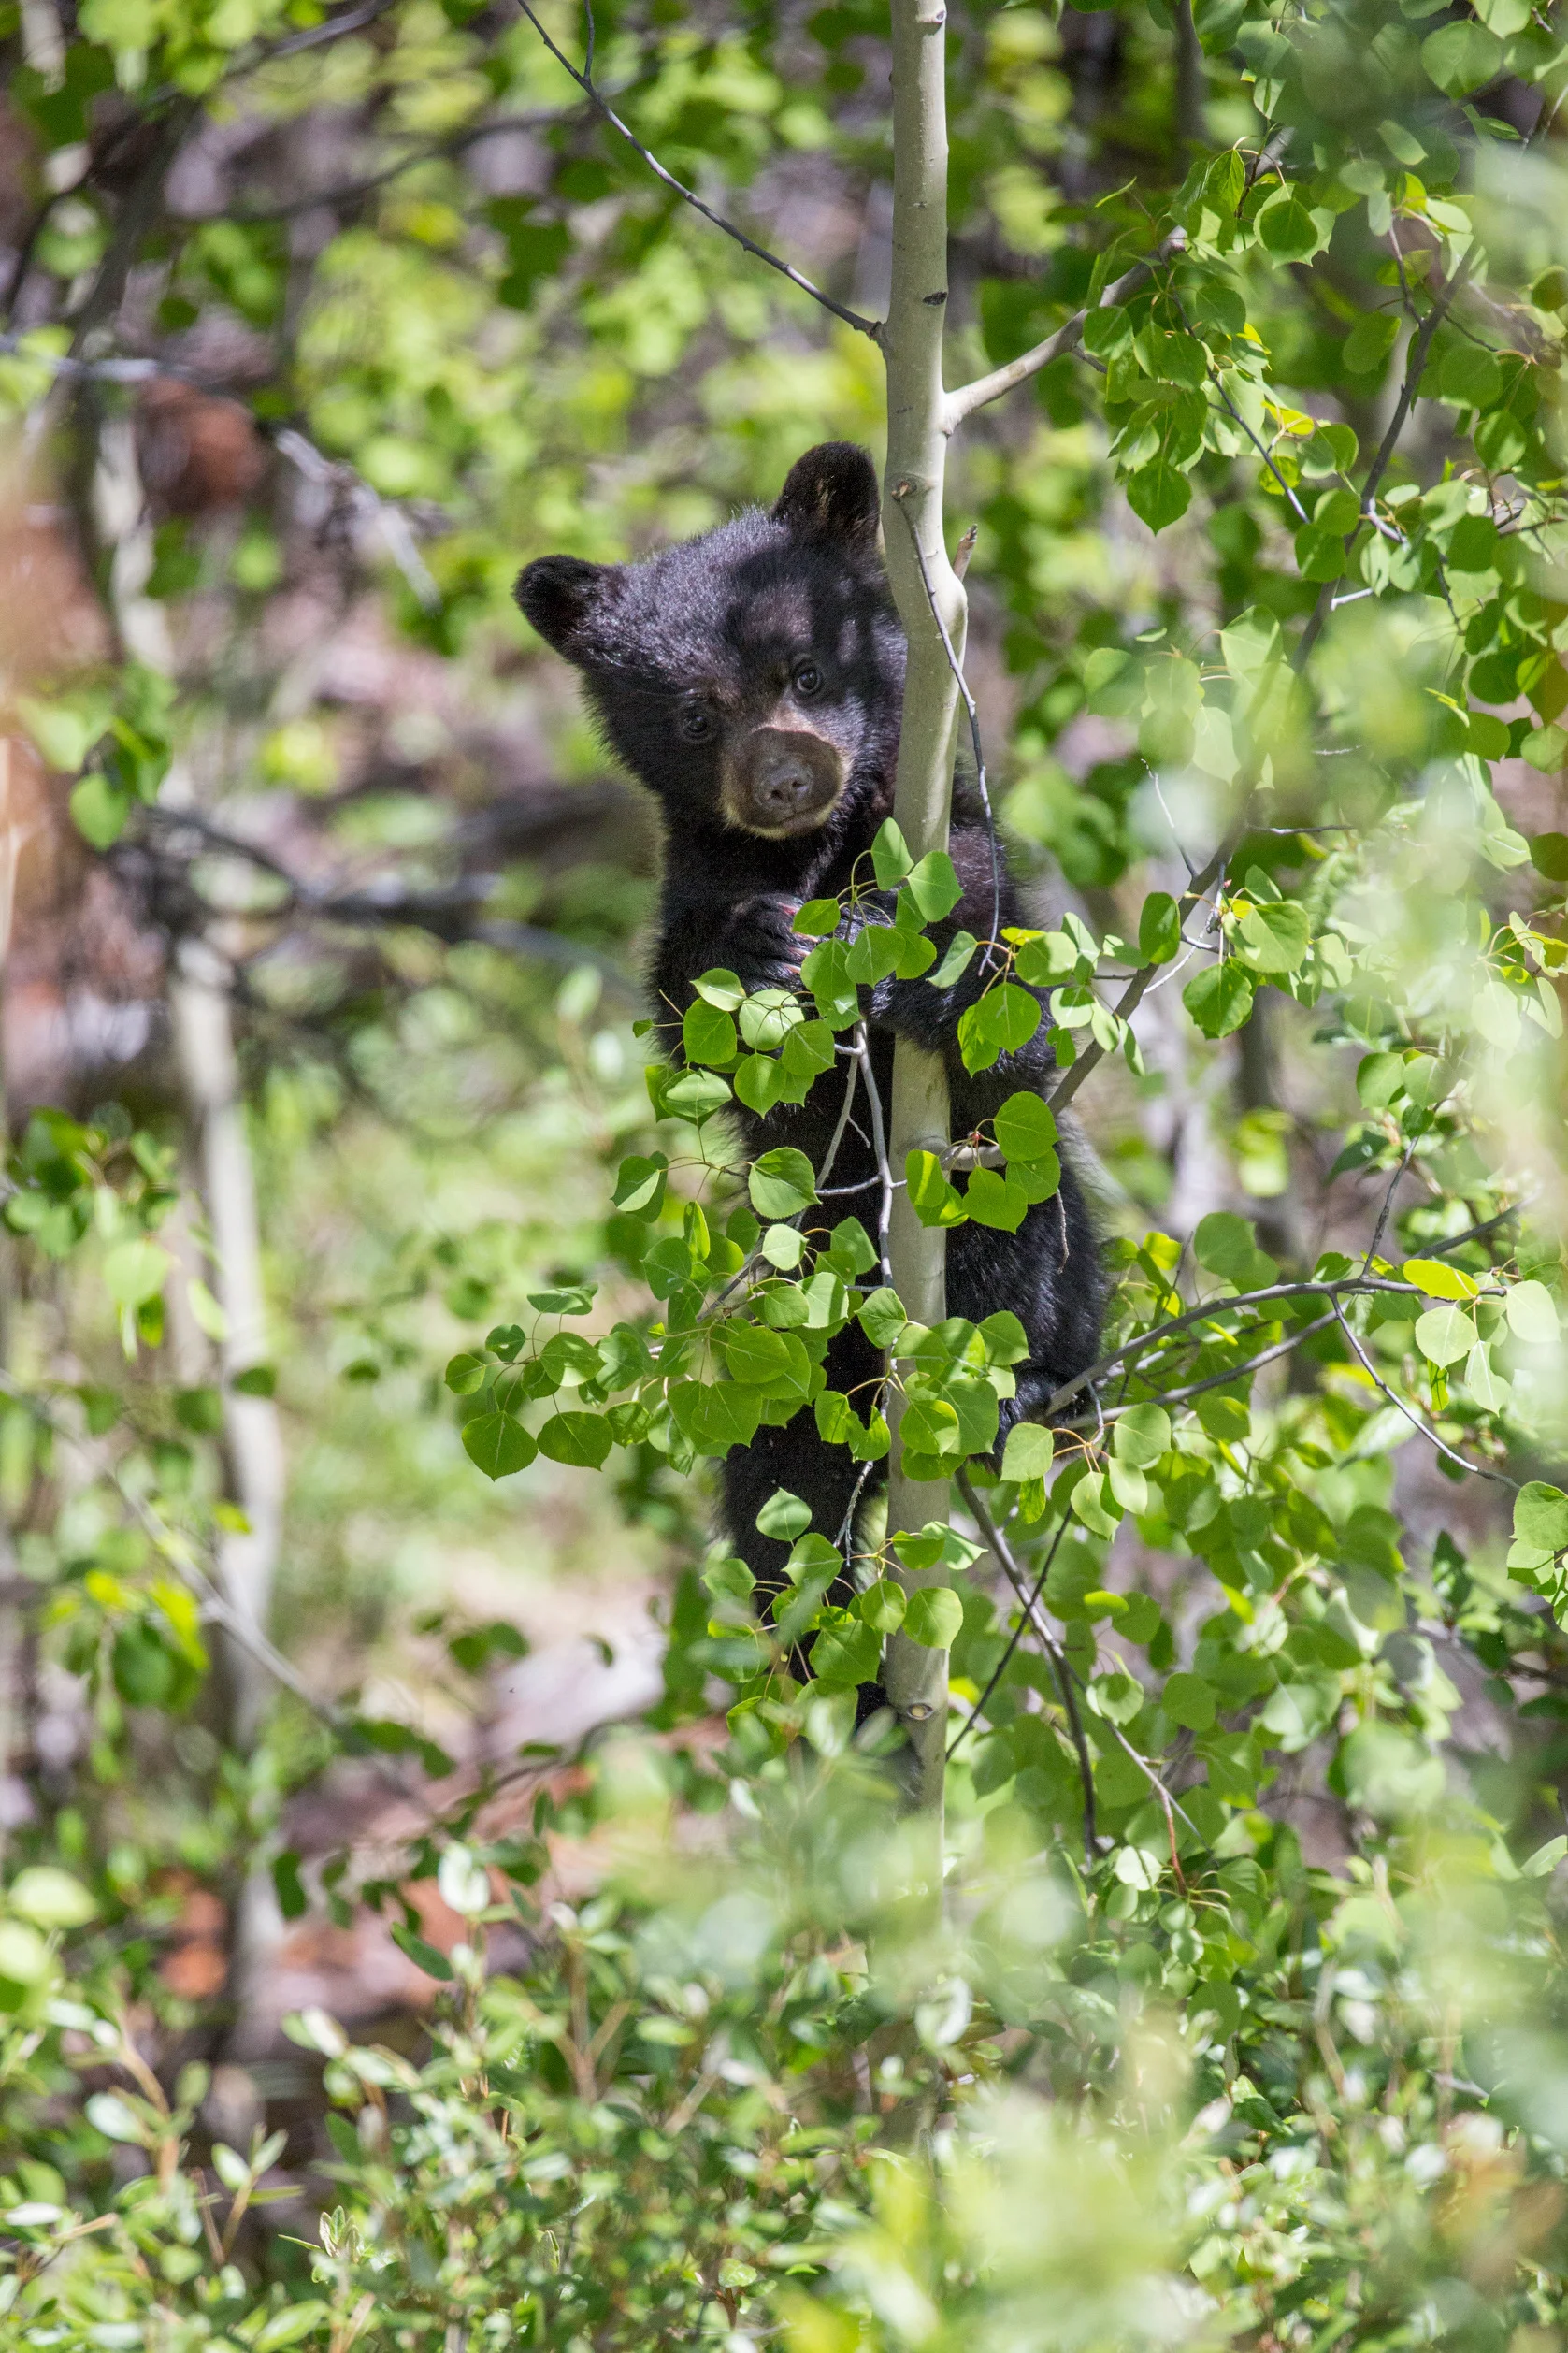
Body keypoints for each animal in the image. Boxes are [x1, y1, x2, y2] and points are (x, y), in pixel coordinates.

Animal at [516, 442, 1102, 1634]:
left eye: (808, 672)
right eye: (697, 715)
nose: (786, 778)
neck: (816, 854)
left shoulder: (957, 844)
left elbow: (1004, 979)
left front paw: (919, 963)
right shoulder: (695, 879)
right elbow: (689, 1013)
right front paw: (759, 948)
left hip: (1027, 1227)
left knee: (1024, 1249)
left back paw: (1026, 1388)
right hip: (797, 1349)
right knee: (785, 1488)